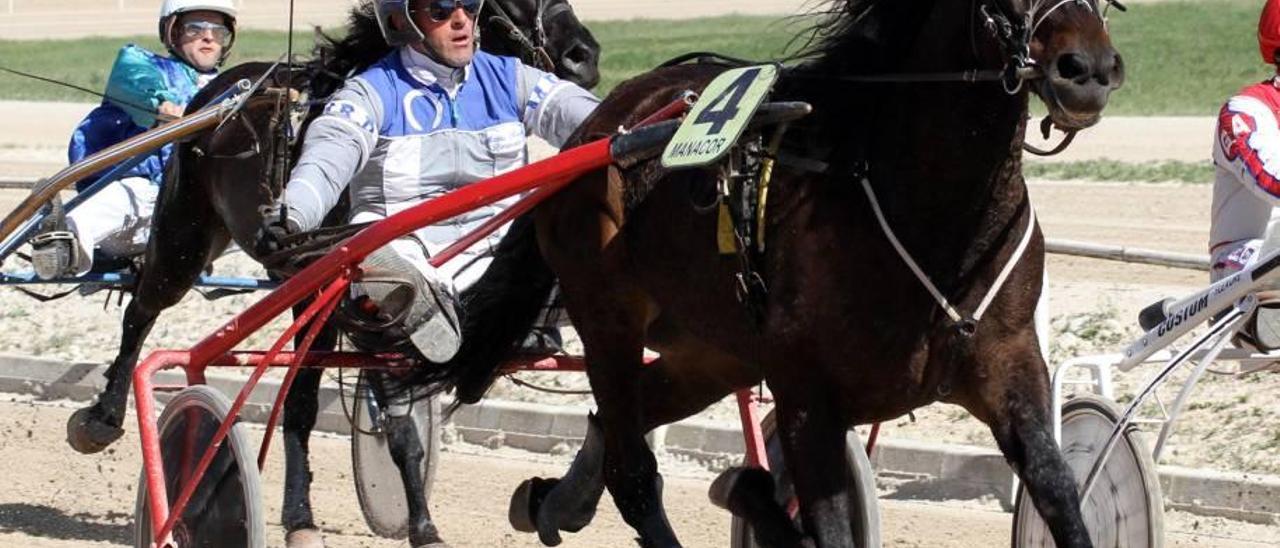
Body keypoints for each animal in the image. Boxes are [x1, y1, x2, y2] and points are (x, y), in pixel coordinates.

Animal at [58, 2, 599, 545]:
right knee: (142, 312)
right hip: (184, 238)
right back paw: (103, 417)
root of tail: (222, 93)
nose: (585, 56)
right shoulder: (351, 286)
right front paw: (406, 523)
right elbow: (370, 415)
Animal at [404, 0, 1126, 542]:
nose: (1087, 68)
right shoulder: (808, 394)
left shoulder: (1008, 363)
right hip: (607, 315)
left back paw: (560, 500)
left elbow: (1058, 488)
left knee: (626, 417)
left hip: (713, 352)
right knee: (633, 473)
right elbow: (821, 522)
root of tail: (601, 127)